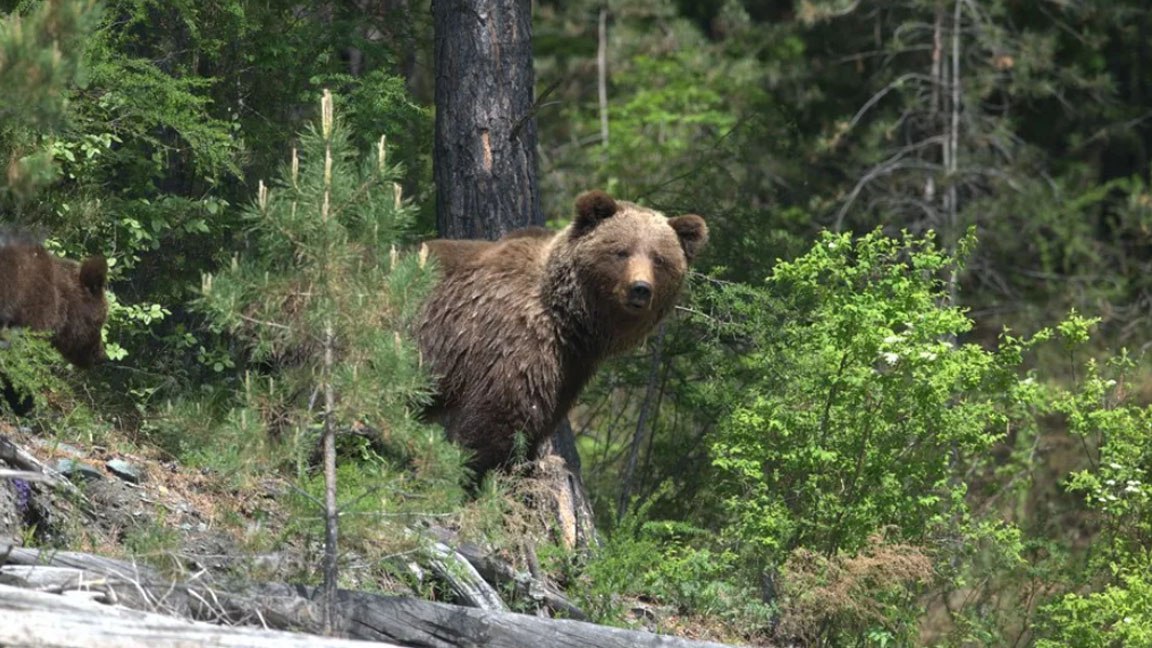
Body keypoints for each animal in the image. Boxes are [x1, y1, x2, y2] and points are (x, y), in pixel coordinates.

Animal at [414, 189, 700, 477]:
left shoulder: (570, 367)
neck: (568, 320)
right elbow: (498, 416)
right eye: (621, 251)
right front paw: (483, 467)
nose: (640, 288)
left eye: (659, 259)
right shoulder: (513, 339)